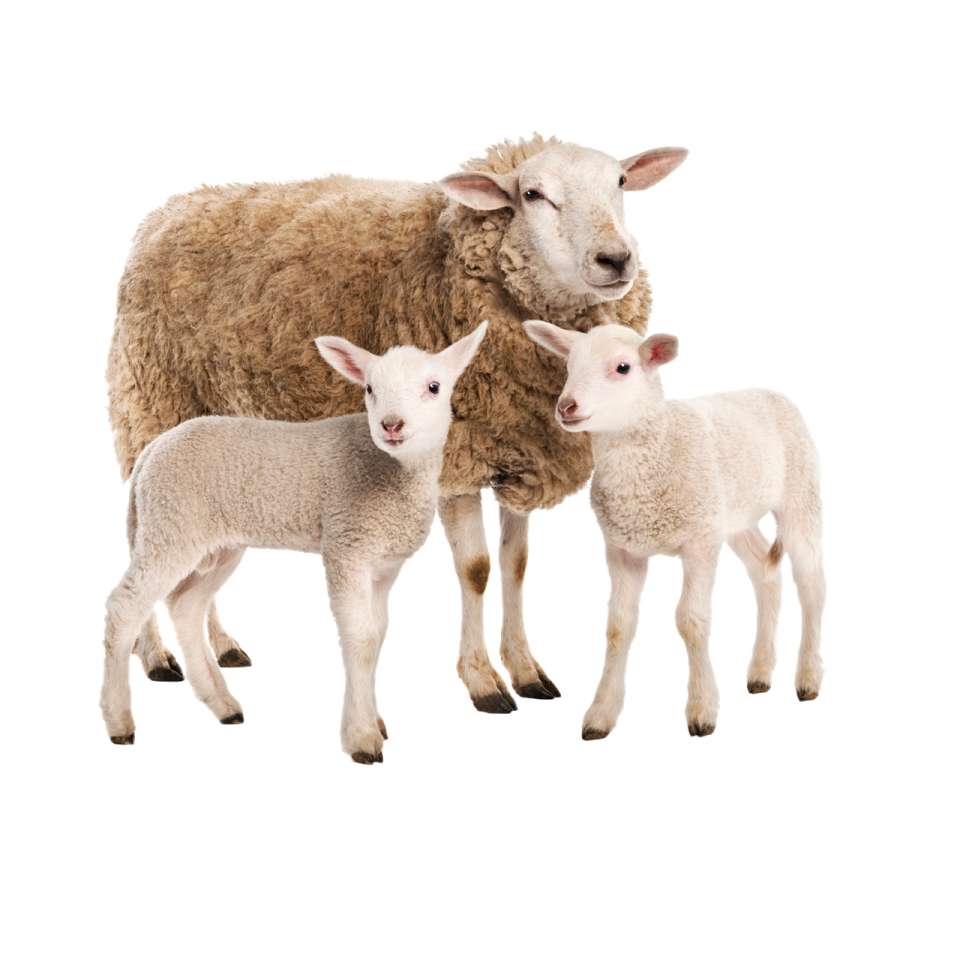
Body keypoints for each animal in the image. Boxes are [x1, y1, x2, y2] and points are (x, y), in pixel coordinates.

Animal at [100, 322, 488, 762]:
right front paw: (361, 738)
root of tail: (151, 452)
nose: (391, 425)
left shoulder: (383, 562)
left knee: (185, 605)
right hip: (171, 524)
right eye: (370, 388)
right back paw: (119, 722)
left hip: (213, 540)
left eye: (434, 387)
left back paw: (223, 705)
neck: (391, 472)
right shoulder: (345, 544)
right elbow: (358, 638)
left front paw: (373, 722)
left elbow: (376, 637)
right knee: (125, 607)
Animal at [105, 134, 690, 714]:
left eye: (620, 184)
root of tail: (170, 208)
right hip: (150, 412)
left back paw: (221, 648)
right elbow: (476, 568)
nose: (616, 259)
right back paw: (155, 657)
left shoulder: (516, 448)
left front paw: (525, 670)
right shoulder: (456, 458)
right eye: (532, 194)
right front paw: (484, 680)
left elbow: (517, 562)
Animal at [522, 321, 826, 739]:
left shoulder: (699, 542)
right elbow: (618, 627)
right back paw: (760, 673)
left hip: (800, 494)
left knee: (812, 585)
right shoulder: (623, 546)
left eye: (623, 368)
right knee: (765, 573)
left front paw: (702, 710)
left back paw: (808, 678)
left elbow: (692, 622)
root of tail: (770, 390)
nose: (566, 407)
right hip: (733, 515)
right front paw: (601, 714)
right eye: (569, 366)